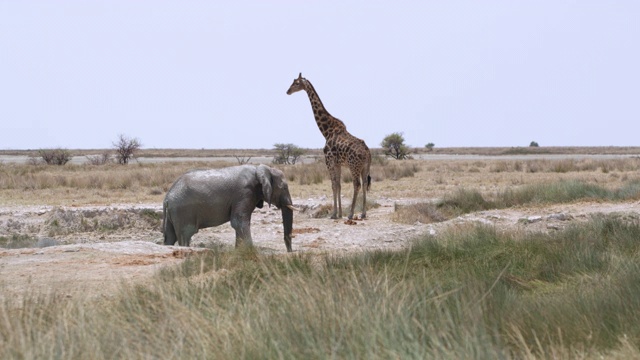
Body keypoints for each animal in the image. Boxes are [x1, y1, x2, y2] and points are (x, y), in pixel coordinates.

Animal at [165, 165, 296, 252]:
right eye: (284, 188)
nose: (289, 252)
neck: (261, 169)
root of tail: (167, 197)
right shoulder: (244, 192)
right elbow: (239, 222)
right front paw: (250, 251)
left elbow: (241, 223)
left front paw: (239, 251)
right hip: (183, 212)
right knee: (185, 235)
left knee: (170, 237)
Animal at [284, 72, 370, 219]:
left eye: (296, 83)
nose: (288, 91)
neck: (326, 131)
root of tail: (368, 152)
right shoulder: (338, 163)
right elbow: (339, 185)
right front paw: (339, 213)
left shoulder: (328, 161)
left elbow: (333, 185)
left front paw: (334, 214)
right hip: (365, 167)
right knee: (364, 184)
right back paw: (363, 214)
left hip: (354, 166)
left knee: (357, 184)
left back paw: (351, 214)